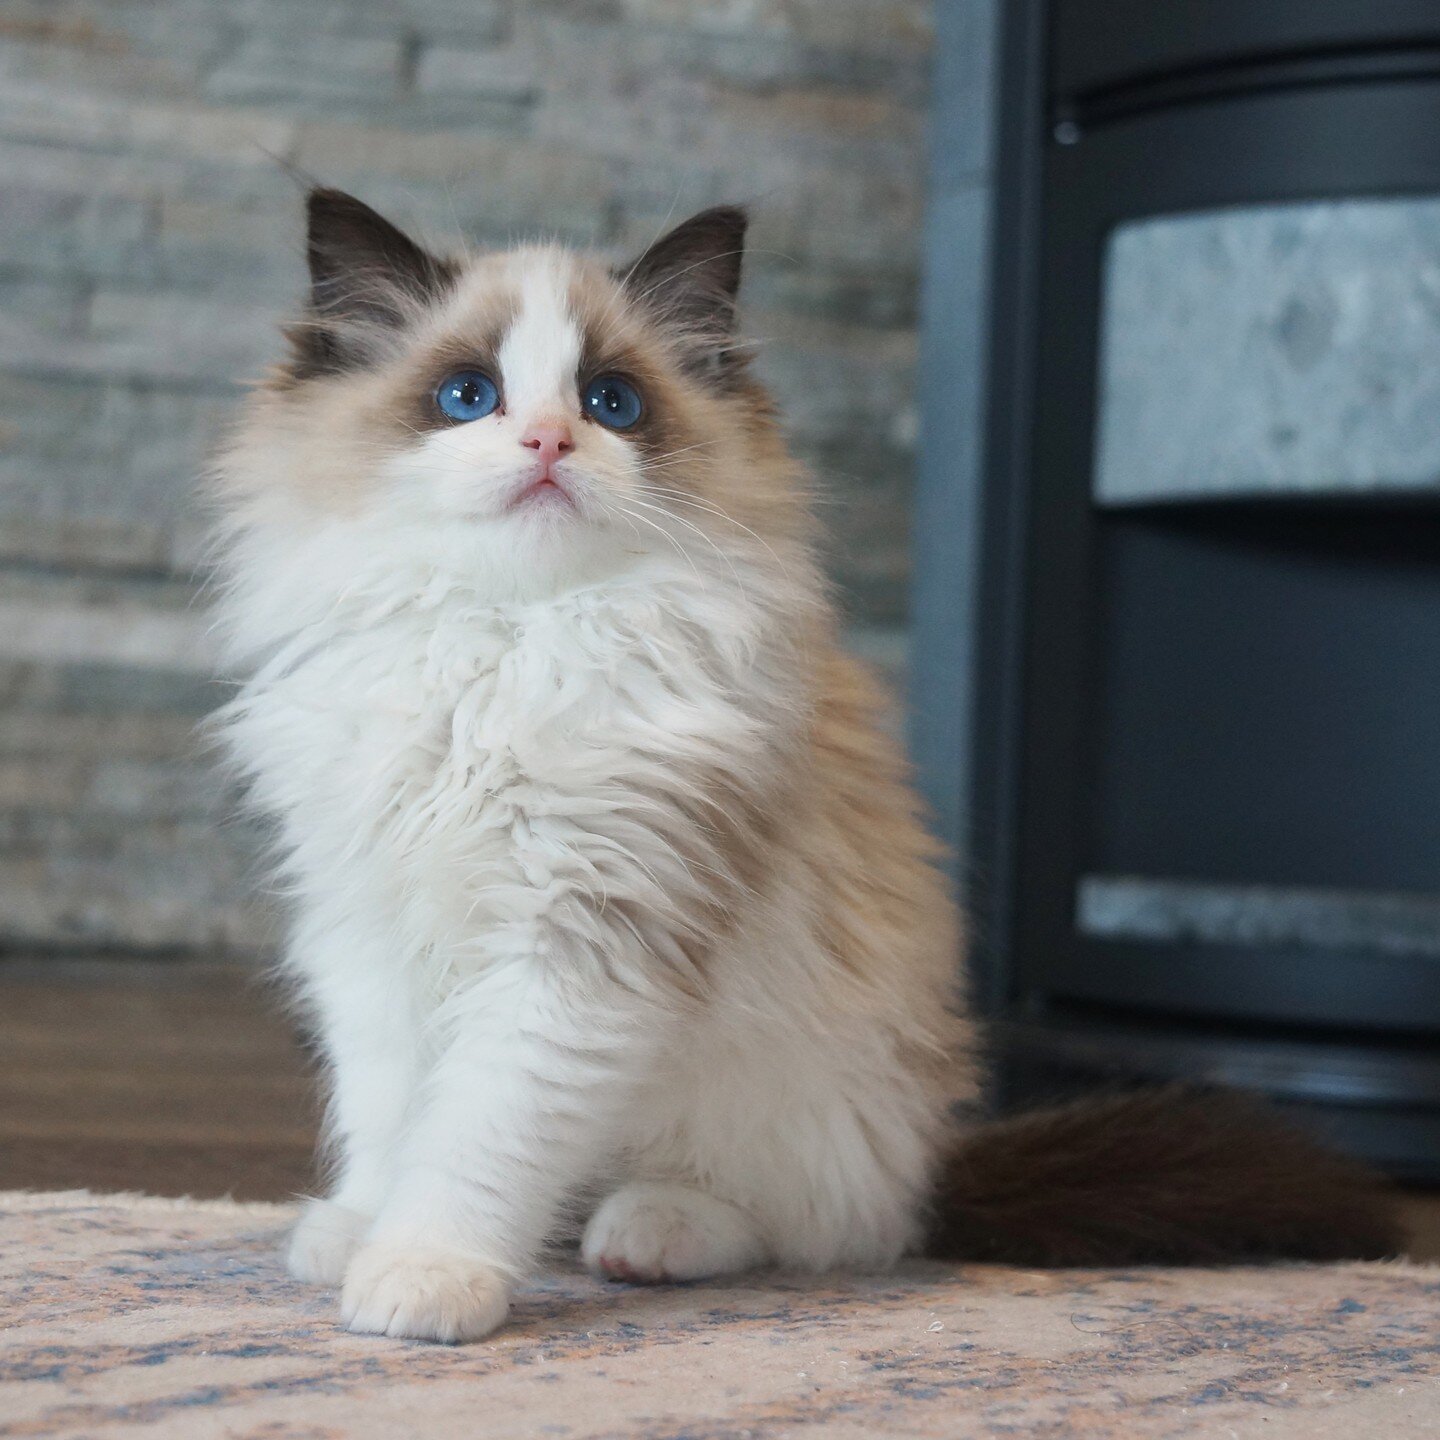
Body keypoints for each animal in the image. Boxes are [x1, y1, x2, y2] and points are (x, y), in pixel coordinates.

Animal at [210, 188, 1393, 1336]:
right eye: (468, 396)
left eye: (610, 404)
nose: (547, 444)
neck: (511, 642)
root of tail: (936, 1162)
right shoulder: (370, 937)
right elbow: (391, 1116)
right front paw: (361, 1233)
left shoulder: (576, 947)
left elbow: (475, 1141)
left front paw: (423, 1277)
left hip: (801, 1106)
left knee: (813, 1223)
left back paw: (645, 1235)